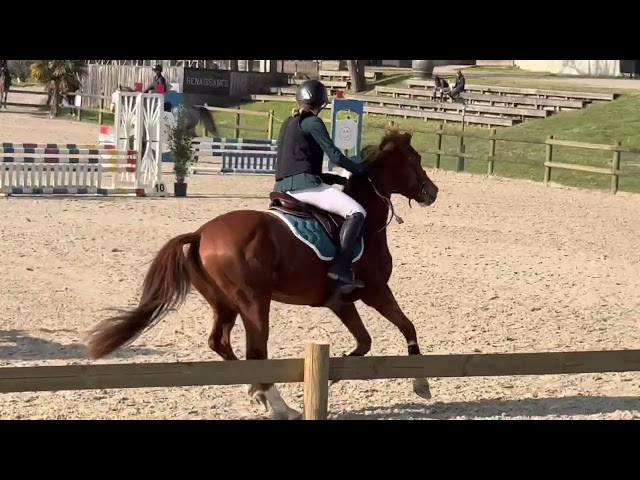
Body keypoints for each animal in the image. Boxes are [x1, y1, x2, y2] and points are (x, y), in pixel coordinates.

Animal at [85, 126, 439, 420]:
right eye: (414, 160)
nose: (432, 192)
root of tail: (200, 234)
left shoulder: (340, 301)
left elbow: (365, 341)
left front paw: (335, 373)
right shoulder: (375, 291)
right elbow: (407, 326)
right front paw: (421, 382)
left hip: (225, 303)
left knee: (221, 343)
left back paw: (255, 391)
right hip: (254, 302)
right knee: (256, 351)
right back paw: (281, 406)